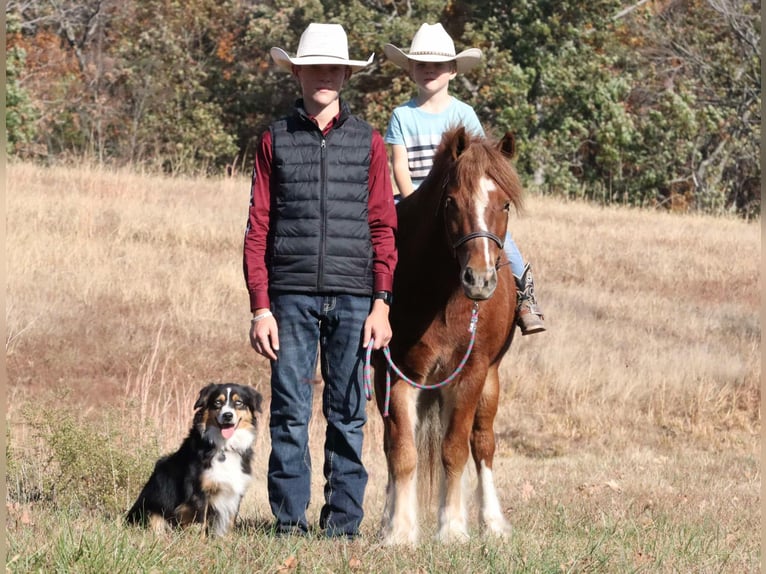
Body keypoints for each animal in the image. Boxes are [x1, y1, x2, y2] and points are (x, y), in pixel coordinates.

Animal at [127, 384, 264, 536]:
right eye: (217, 402)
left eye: (239, 402)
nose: (227, 415)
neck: (224, 447)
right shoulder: (199, 492)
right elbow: (201, 523)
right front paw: (200, 541)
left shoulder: (234, 492)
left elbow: (229, 523)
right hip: (152, 512)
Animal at [374, 126, 528, 544]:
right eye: (451, 203)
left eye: (505, 206)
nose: (479, 279)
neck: (442, 296)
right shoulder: (397, 373)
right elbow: (402, 452)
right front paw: (399, 530)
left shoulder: (471, 374)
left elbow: (455, 448)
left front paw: (453, 527)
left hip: (490, 380)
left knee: (483, 443)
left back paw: (492, 522)